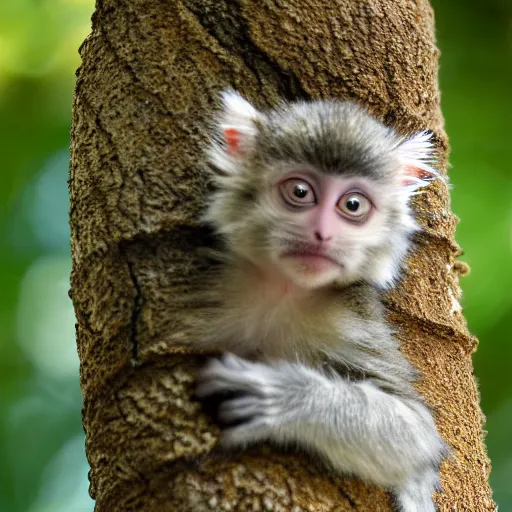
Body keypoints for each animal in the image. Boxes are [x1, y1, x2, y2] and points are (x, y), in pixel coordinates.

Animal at [194, 91, 446, 512]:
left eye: (353, 205)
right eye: (300, 193)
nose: (322, 234)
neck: (286, 291)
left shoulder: (351, 318)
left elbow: (416, 434)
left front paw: (284, 399)